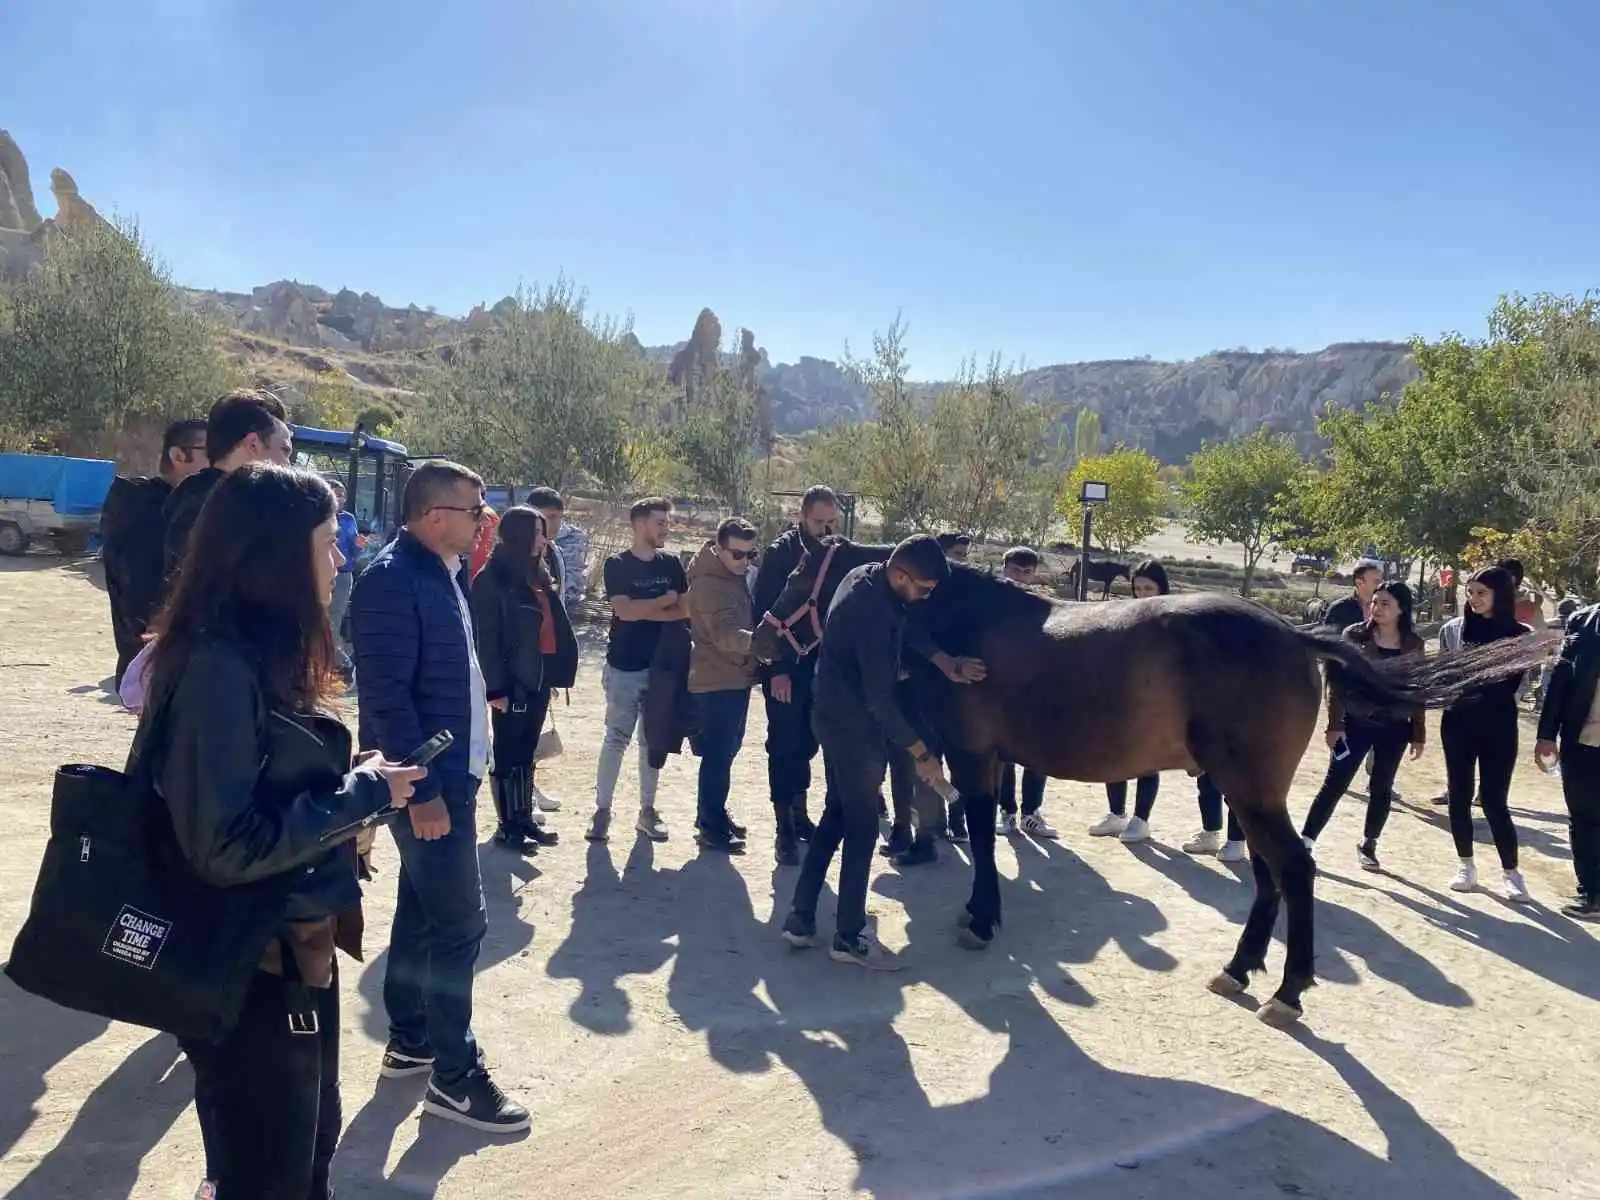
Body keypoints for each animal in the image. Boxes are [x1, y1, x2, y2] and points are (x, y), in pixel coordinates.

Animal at [755, 540, 1555, 1030]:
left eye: (792, 570)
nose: (762, 639)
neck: (965, 626)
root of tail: (1295, 635)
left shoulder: (974, 755)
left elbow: (980, 831)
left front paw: (981, 916)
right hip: (1249, 793)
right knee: (1268, 874)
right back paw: (1240, 969)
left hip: (1250, 791)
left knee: (1293, 870)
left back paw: (1286, 992)